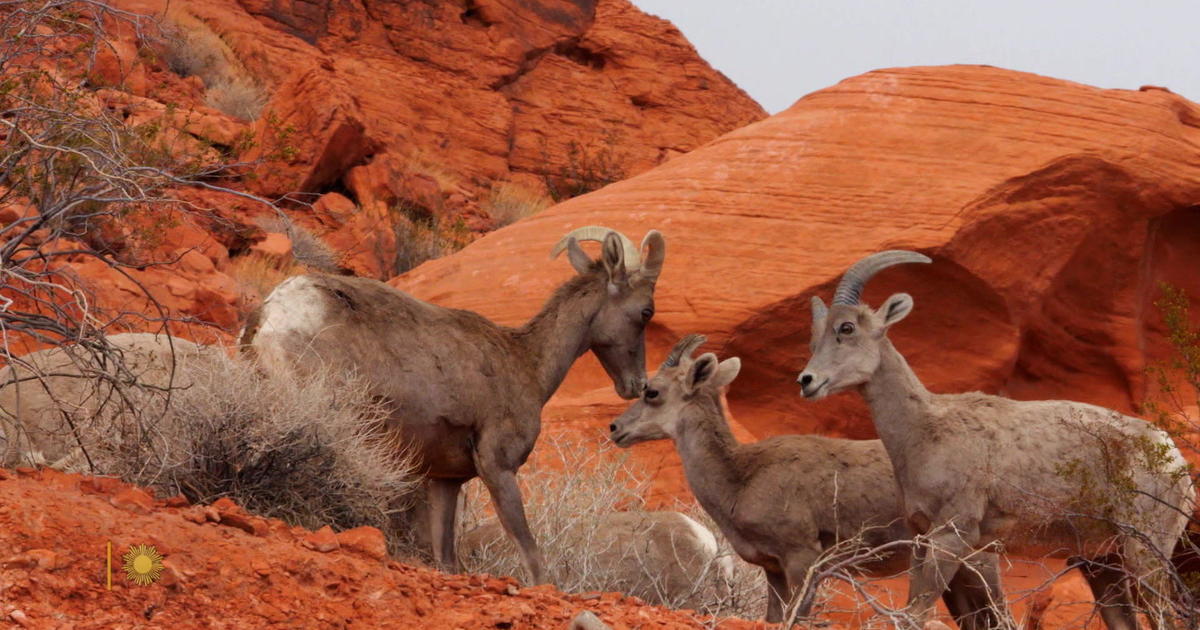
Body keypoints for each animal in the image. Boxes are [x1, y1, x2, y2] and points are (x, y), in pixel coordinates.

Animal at [241, 225, 667, 585]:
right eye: (646, 311)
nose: (636, 384)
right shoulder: (498, 467)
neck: (527, 363)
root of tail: (272, 314)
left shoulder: (446, 481)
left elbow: (446, 559)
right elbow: (530, 553)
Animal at [609, 333, 1012, 624]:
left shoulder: (802, 556)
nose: (616, 428)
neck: (740, 479)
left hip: (976, 561)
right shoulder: (773, 568)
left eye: (653, 391)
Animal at [792, 250, 1195, 628]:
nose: (807, 381)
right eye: (814, 338)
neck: (921, 431)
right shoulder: (924, 539)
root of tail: (1175, 461)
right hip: (1102, 562)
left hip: (1144, 552)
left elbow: (916, 613)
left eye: (846, 328)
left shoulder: (953, 535)